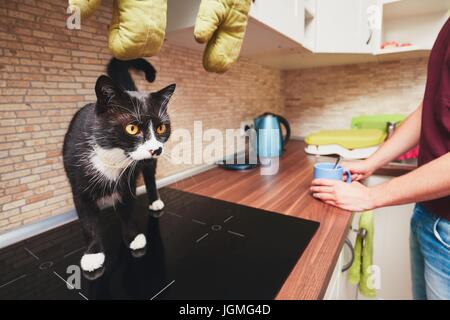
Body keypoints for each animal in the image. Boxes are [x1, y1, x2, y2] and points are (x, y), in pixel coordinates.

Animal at [63, 58, 176, 272]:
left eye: (160, 128)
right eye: (132, 128)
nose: (155, 149)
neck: (113, 156)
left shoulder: (128, 182)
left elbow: (127, 209)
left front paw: (132, 238)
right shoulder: (79, 186)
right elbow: (87, 220)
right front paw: (93, 254)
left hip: (148, 166)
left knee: (150, 177)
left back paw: (155, 201)